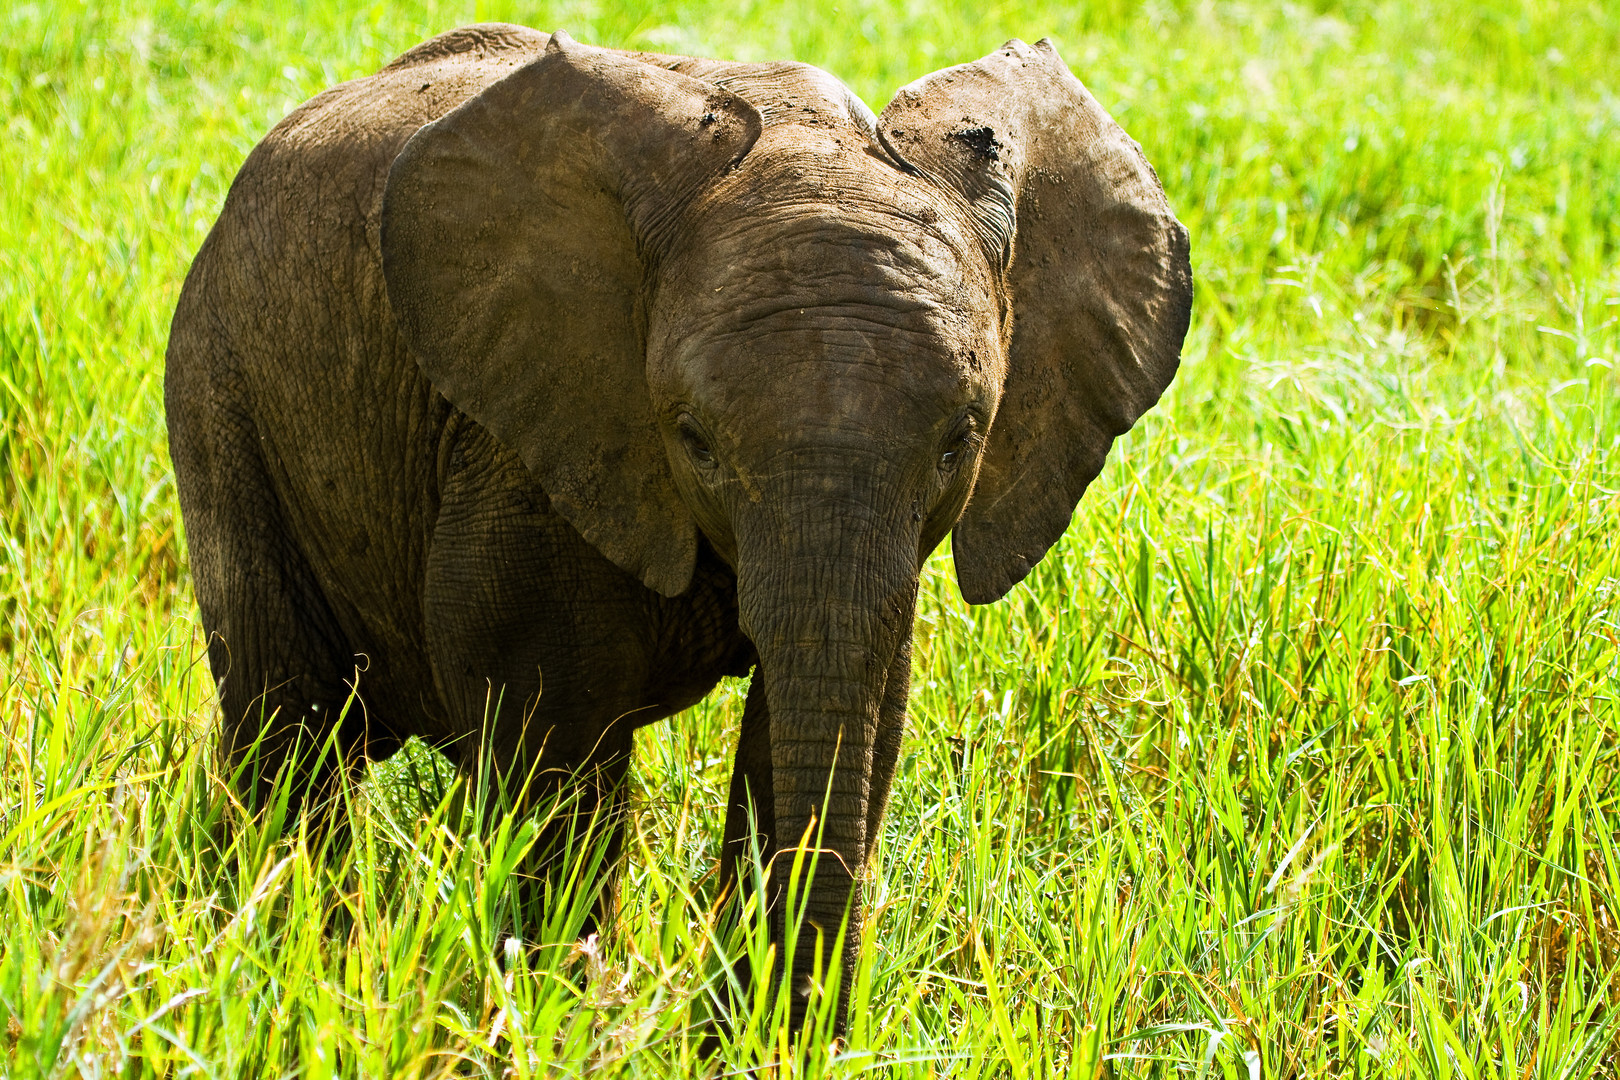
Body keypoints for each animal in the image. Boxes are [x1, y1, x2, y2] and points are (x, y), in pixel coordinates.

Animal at [164, 25, 1192, 1036]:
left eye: (960, 441)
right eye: (692, 437)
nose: (799, 1028)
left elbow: (838, 719)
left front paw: (756, 1039)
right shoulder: (526, 441)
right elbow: (554, 739)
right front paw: (560, 1023)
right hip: (220, 393)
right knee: (289, 734)